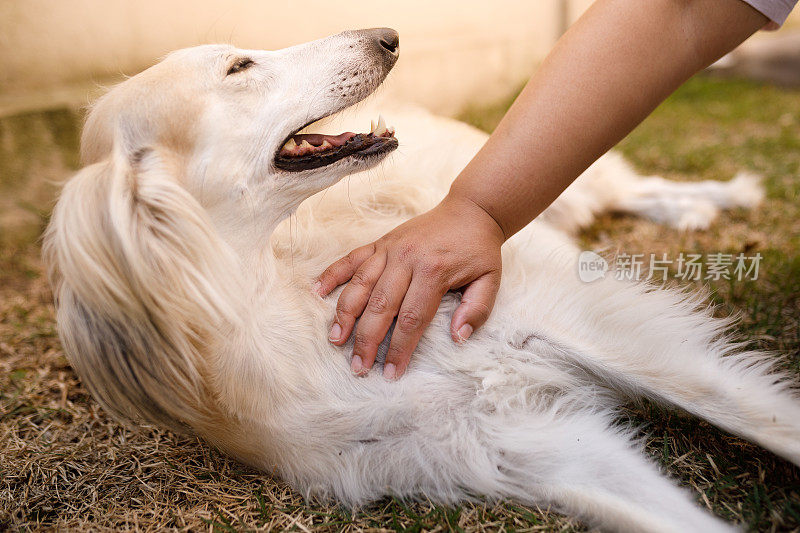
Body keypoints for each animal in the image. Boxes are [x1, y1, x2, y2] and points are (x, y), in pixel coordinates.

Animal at [45, 29, 800, 532]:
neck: (278, 308)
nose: (387, 36)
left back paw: (719, 195)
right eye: (239, 66)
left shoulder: (585, 321)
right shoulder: (527, 444)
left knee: (627, 186)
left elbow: (764, 418)